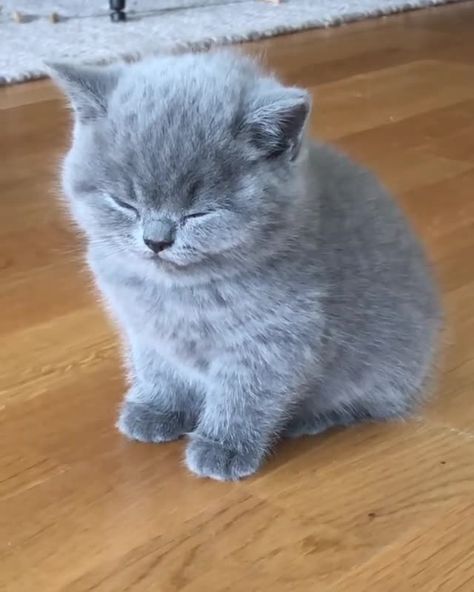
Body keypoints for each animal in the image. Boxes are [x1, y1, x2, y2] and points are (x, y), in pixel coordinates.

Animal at [51, 52, 440, 480]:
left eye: (199, 213)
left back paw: (309, 420)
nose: (156, 240)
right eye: (124, 203)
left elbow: (245, 395)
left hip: (384, 366)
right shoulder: (144, 330)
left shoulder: (275, 340)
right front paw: (157, 409)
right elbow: (158, 370)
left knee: (370, 402)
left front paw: (223, 447)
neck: (177, 294)